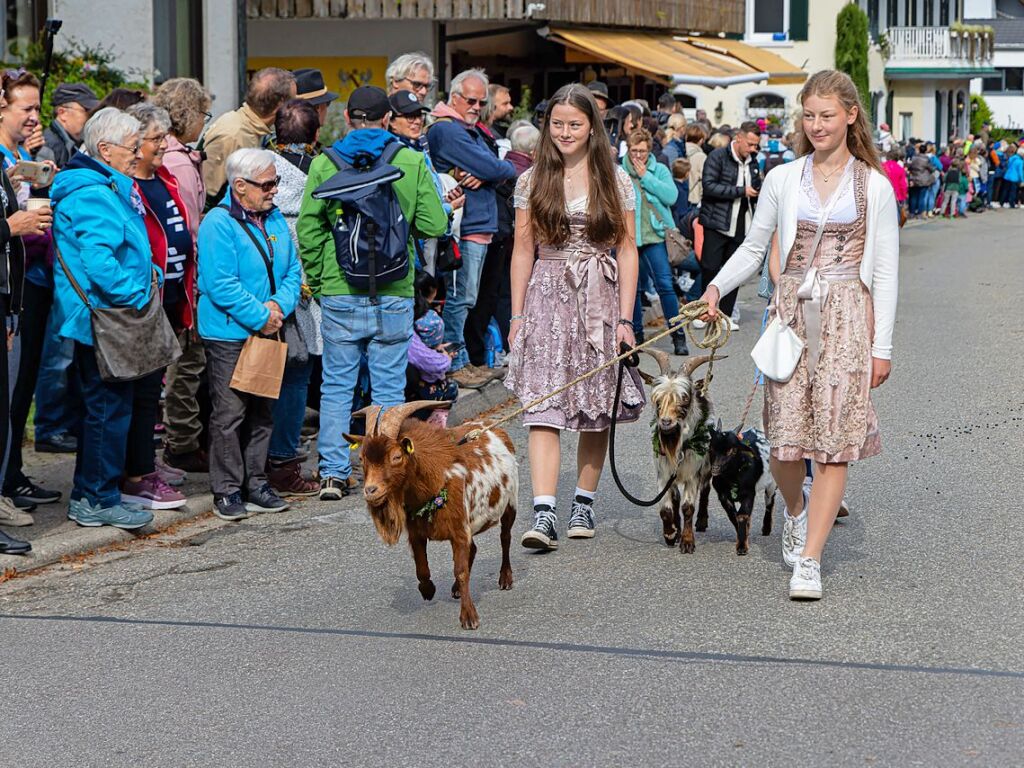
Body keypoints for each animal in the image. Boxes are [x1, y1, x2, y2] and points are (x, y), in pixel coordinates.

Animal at [346, 403, 520, 630]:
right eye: (361, 458)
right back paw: (456, 589)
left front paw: (469, 617)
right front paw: (428, 590)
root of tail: (494, 428)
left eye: (396, 457)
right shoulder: (418, 533)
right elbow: (422, 569)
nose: (370, 491)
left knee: (505, 537)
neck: (435, 481)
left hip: (510, 503)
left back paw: (505, 578)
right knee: (474, 548)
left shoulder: (459, 531)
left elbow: (461, 571)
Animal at [634, 352, 716, 557]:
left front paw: (687, 542)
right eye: (657, 399)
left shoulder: (692, 473)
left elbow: (688, 507)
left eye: (684, 398)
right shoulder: (663, 474)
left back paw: (701, 521)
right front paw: (671, 534)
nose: (666, 422)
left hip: (707, 464)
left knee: (706, 488)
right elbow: (666, 508)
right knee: (676, 498)